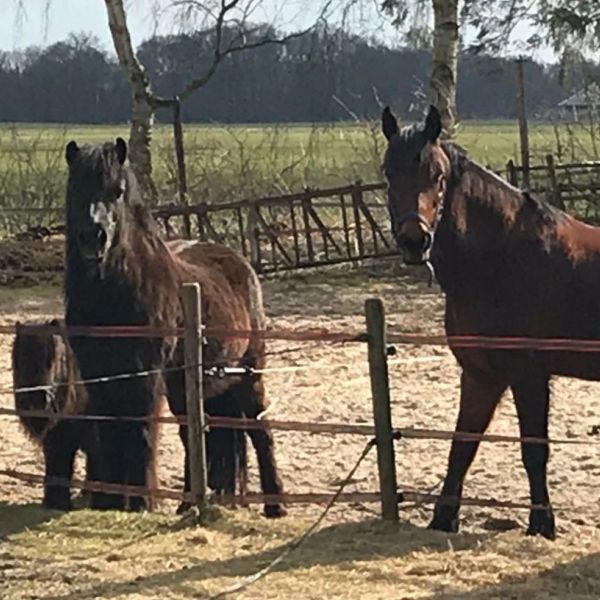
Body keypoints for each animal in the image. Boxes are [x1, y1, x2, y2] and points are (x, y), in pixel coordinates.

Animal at [64, 137, 284, 516]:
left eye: (117, 190)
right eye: (76, 187)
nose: (94, 237)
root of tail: (238, 262)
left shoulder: (144, 376)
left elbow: (140, 432)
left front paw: (138, 503)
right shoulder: (99, 374)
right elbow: (109, 432)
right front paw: (109, 502)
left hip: (248, 371)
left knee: (259, 430)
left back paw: (275, 506)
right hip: (193, 385)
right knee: (194, 435)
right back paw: (188, 504)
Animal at [382, 103, 600, 540]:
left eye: (438, 175)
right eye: (388, 172)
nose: (414, 241)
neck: (499, 260)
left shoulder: (528, 375)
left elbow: (534, 450)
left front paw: (542, 525)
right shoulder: (481, 375)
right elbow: (462, 444)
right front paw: (443, 519)